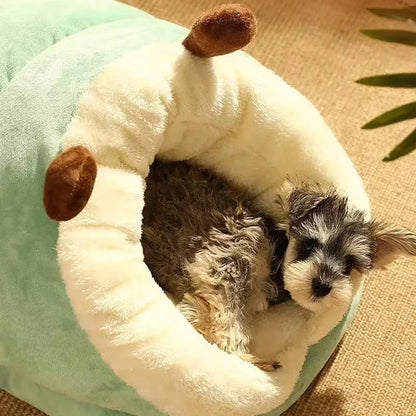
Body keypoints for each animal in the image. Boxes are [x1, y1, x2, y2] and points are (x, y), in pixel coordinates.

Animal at [142, 159, 416, 370]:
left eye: (349, 264)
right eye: (309, 244)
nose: (322, 286)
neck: (276, 257)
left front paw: (195, 312)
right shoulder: (225, 263)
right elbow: (229, 322)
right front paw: (249, 358)